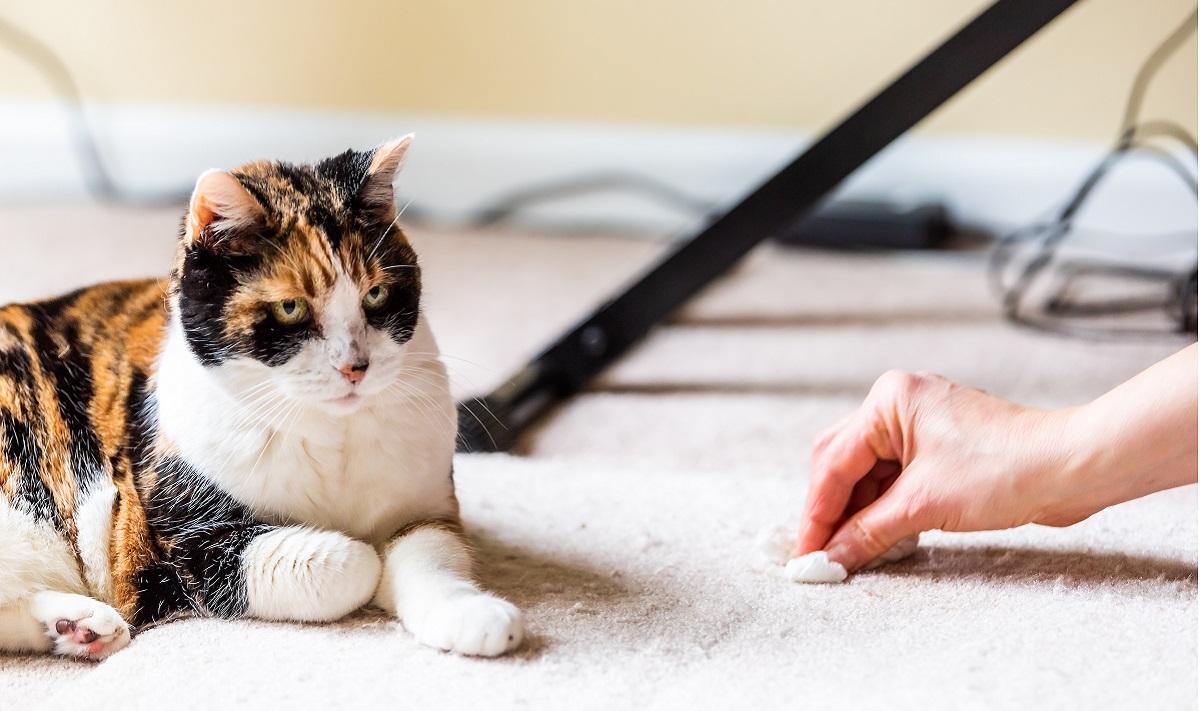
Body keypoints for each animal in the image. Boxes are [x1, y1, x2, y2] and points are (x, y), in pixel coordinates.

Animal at [1, 136, 525, 658]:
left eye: (375, 295)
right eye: (290, 307)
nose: (355, 366)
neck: (331, 436)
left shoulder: (426, 509)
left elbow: (431, 556)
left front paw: (474, 616)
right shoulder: (177, 543)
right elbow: (351, 563)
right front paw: (368, 564)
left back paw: (79, 626)